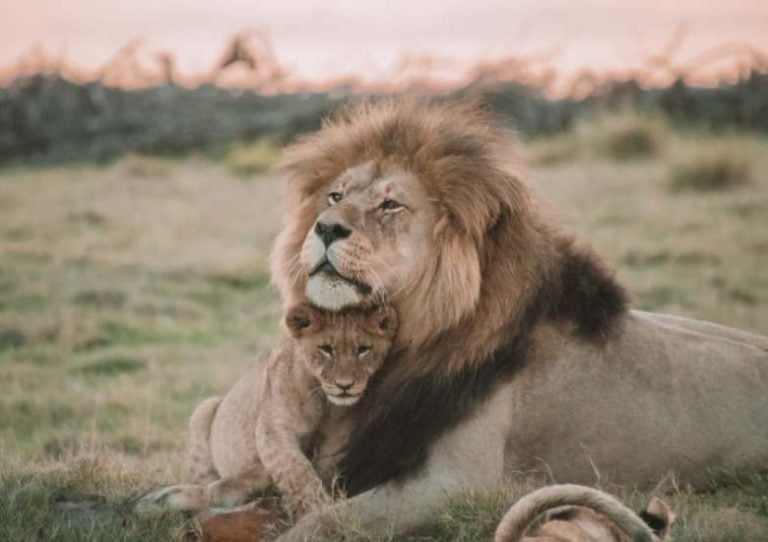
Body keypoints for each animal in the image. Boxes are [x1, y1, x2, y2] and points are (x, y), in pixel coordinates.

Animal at [138, 303, 396, 519]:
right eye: (325, 348)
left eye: (363, 349)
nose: (345, 385)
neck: (326, 404)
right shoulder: (273, 429)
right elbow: (296, 470)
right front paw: (315, 510)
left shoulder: (338, 439)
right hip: (205, 408)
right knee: (206, 478)